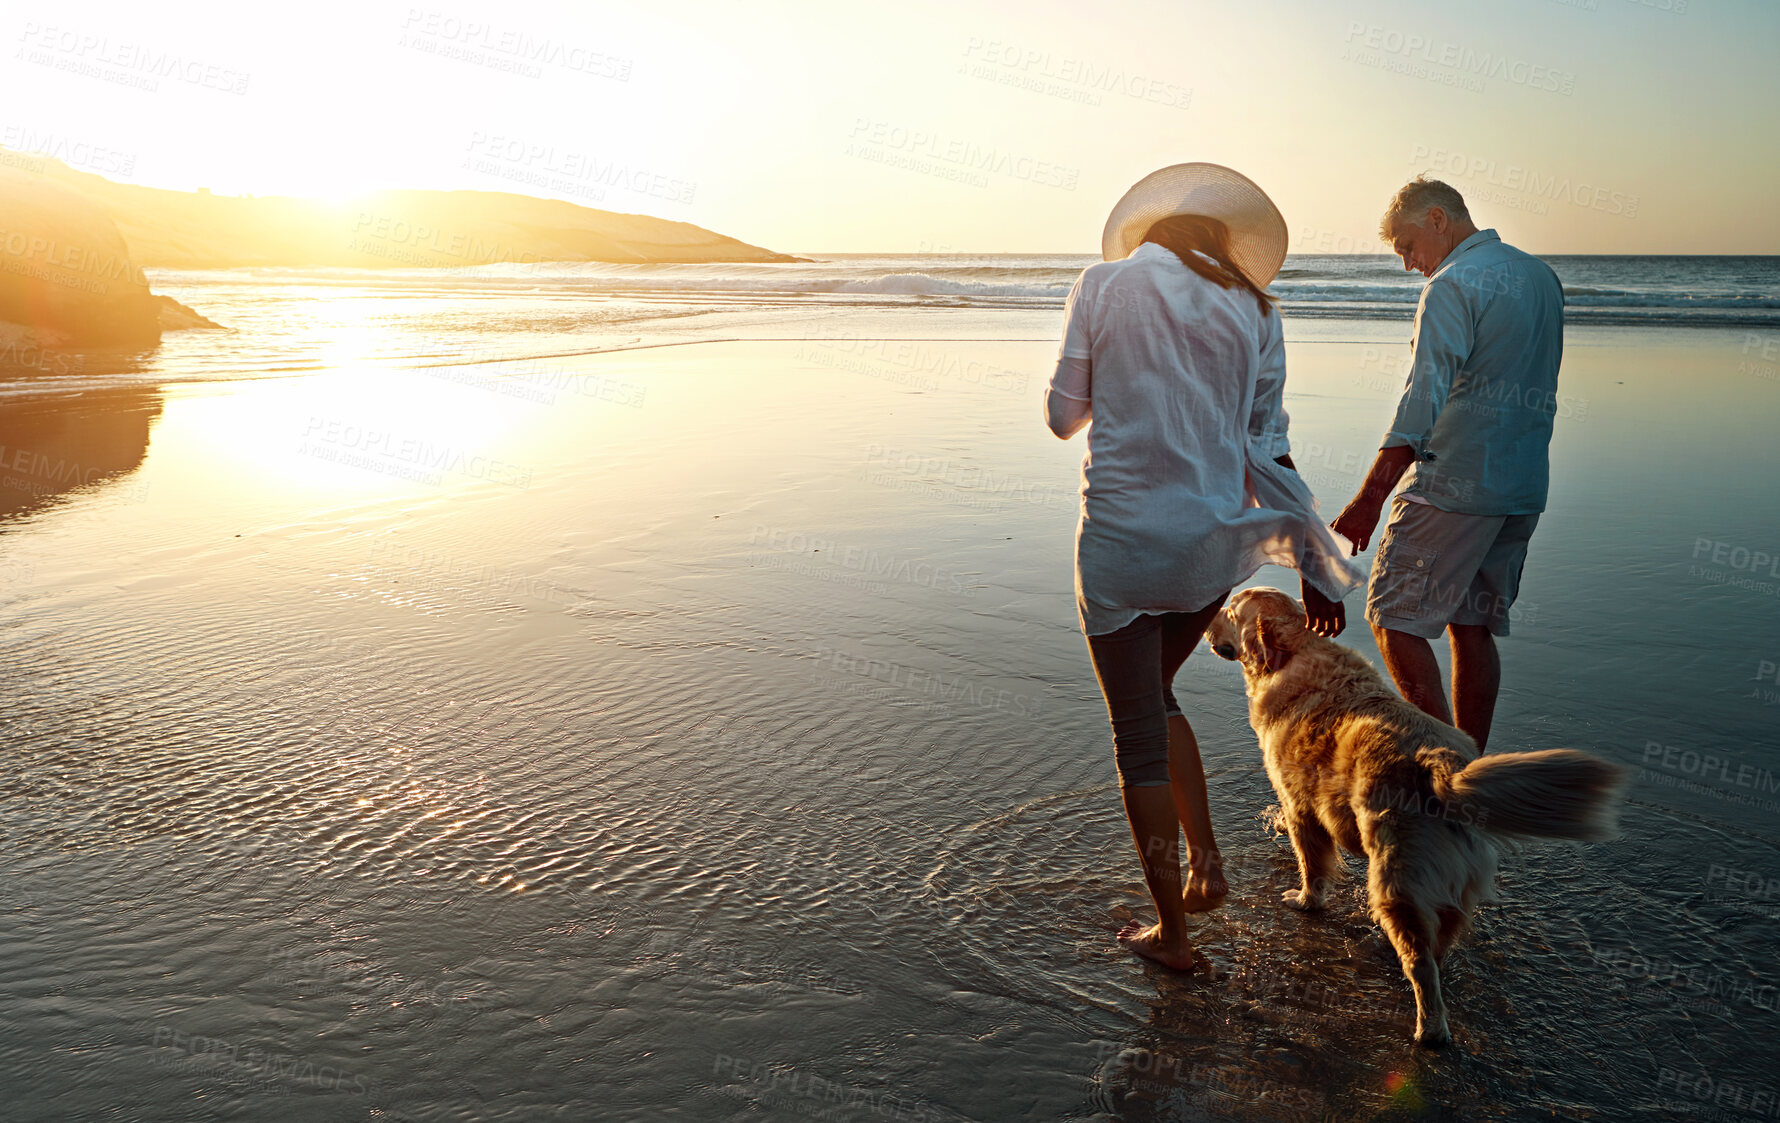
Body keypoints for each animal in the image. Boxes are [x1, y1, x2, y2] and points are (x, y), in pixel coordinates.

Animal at [1196, 587, 1630, 1046]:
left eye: (1230, 612)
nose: (1205, 620)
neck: (1297, 651)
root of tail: (1441, 765)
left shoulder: (1301, 806)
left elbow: (1311, 865)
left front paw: (1305, 901)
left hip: (1396, 880)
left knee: (1421, 964)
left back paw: (1429, 1029)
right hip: (1453, 881)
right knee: (1439, 942)